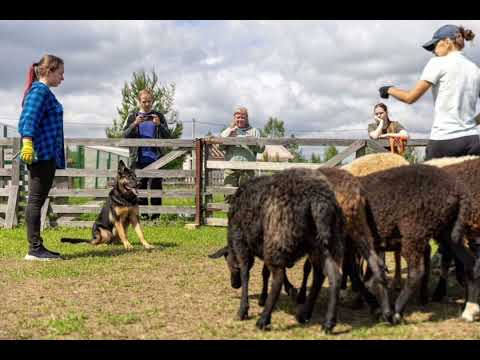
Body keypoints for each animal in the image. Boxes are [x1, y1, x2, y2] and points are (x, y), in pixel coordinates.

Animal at [207, 169, 344, 332]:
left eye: (230, 265)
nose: (234, 285)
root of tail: (318, 199)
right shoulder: (264, 244)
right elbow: (266, 272)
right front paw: (277, 292)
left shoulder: (242, 244)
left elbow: (246, 274)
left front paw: (243, 310)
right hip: (325, 243)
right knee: (330, 277)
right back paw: (321, 320)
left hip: (278, 238)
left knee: (278, 278)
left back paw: (263, 320)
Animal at [358, 164, 478, 324]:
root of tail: (459, 191)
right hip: (447, 229)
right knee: (470, 263)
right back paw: (470, 310)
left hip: (414, 228)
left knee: (416, 272)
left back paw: (397, 312)